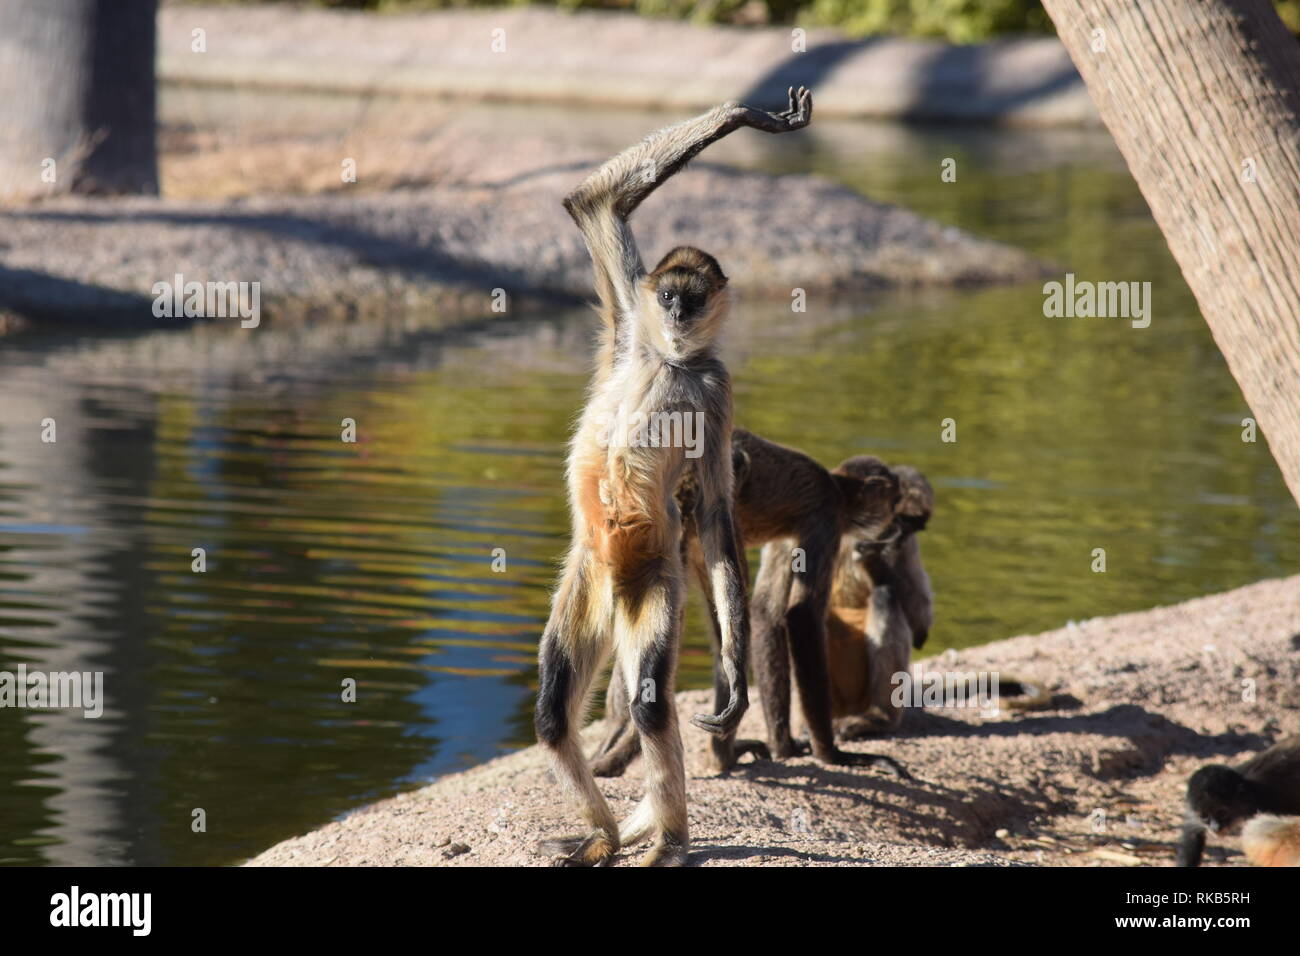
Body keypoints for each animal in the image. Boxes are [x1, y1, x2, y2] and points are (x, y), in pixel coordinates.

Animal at [530, 87, 811, 868]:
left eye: (695, 296)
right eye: (668, 297)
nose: (680, 312)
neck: (671, 363)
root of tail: (618, 585)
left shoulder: (716, 387)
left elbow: (713, 511)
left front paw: (735, 680)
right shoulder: (630, 323)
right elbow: (592, 202)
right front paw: (751, 116)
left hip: (657, 578)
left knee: (650, 700)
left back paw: (671, 840)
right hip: (589, 579)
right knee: (553, 711)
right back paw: (604, 832)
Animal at [590, 429, 904, 780]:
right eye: (893, 502)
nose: (896, 522)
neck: (838, 484)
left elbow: (767, 610)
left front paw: (784, 746)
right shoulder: (828, 511)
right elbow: (802, 614)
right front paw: (833, 755)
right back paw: (721, 756)